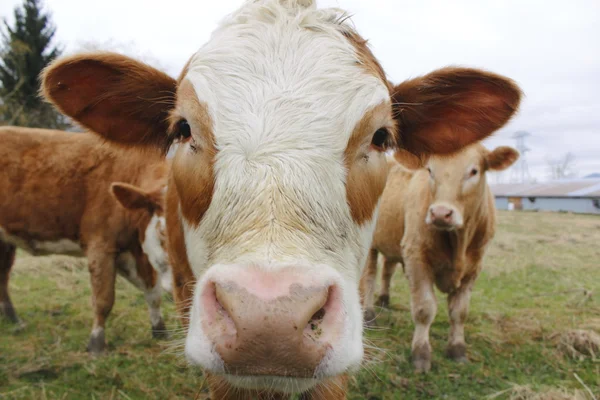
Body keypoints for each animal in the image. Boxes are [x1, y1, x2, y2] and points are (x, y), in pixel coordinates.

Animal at [0, 126, 172, 354]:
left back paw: (13, 320)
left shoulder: (137, 250)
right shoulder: (101, 245)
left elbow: (153, 292)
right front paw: (96, 344)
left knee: (2, 277)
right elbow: (103, 299)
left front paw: (160, 331)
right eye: (164, 232)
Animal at [360, 143, 520, 372]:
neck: (458, 242)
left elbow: (459, 312)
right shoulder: (417, 258)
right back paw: (370, 314)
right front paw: (421, 354)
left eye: (474, 171)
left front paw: (457, 349)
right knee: (369, 277)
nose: (440, 213)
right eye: (430, 171)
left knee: (387, 270)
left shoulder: (474, 267)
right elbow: (424, 309)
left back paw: (384, 300)